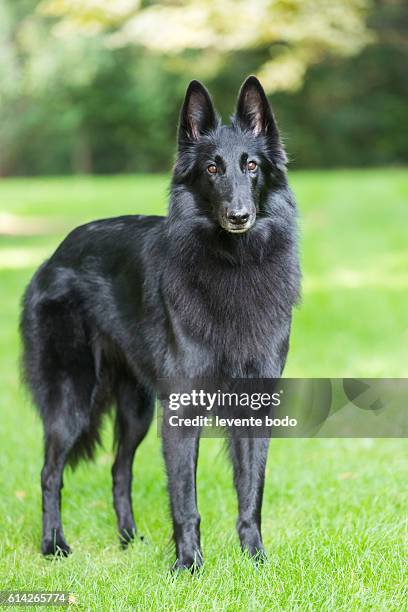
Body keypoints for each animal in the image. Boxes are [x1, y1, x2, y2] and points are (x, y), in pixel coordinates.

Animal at [19, 76, 300, 568]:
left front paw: (255, 562)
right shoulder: (182, 410)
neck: (234, 263)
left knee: (119, 469)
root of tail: (54, 256)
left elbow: (251, 493)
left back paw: (129, 539)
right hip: (71, 400)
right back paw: (54, 544)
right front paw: (188, 566)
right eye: (212, 169)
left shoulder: (253, 404)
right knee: (50, 472)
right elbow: (185, 501)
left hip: (136, 409)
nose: (239, 217)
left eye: (251, 166)